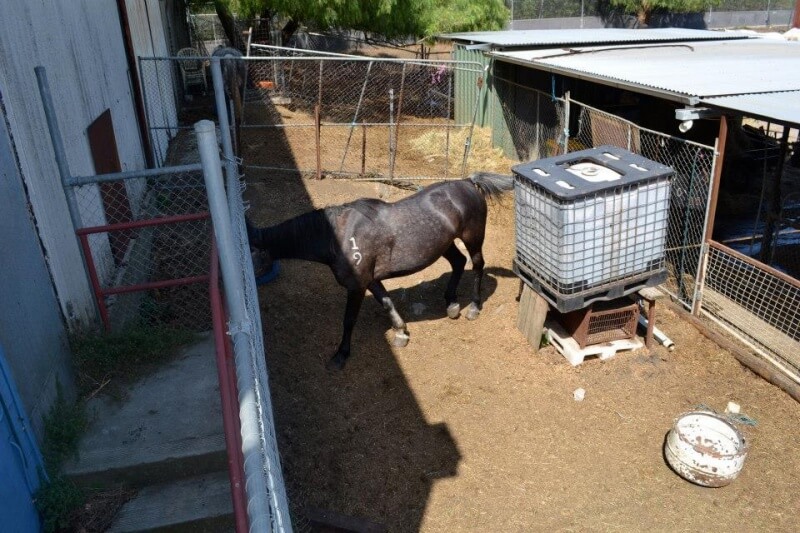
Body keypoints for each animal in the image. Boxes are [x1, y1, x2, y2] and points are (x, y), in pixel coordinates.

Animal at [247, 171, 516, 370]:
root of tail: (469, 183)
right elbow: (386, 302)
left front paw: (340, 355)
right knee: (458, 262)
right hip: (445, 243)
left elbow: (349, 320)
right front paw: (400, 333)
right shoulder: (371, 280)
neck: (338, 237)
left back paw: (473, 307)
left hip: (473, 238)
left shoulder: (356, 286)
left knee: (477, 265)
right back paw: (451, 304)